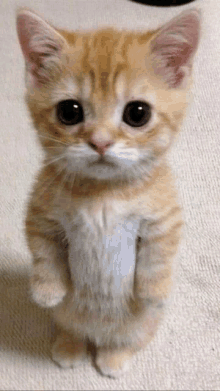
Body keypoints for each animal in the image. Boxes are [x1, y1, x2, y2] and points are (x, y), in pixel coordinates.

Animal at [16, 8, 200, 376]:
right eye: (69, 111)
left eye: (137, 113)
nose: (100, 142)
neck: (103, 194)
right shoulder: (41, 214)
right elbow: (44, 252)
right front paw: (46, 290)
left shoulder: (164, 217)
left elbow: (159, 255)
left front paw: (154, 291)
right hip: (67, 317)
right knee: (72, 327)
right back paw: (70, 347)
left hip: (142, 326)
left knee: (126, 340)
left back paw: (113, 358)